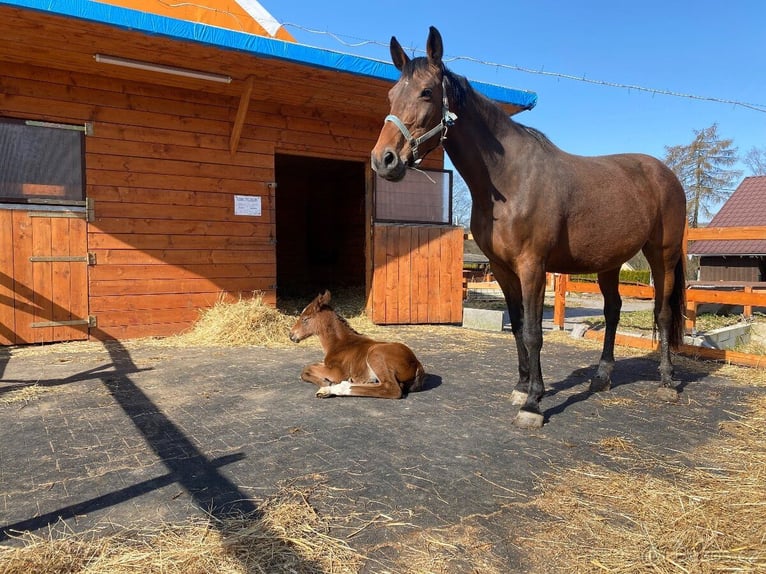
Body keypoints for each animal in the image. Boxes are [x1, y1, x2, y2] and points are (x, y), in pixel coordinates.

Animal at [289, 290, 426, 399]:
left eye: (305, 319)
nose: (291, 335)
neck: (340, 343)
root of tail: (417, 363)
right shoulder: (326, 364)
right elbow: (308, 368)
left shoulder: (338, 372)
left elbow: (306, 369)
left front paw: (326, 383)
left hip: (376, 355)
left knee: (392, 389)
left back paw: (333, 389)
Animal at [371, 27, 686, 428]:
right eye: (391, 95)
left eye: (426, 92)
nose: (383, 160)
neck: (510, 180)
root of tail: (665, 174)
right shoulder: (504, 269)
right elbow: (519, 327)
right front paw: (522, 387)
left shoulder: (533, 266)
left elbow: (535, 332)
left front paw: (533, 404)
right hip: (609, 263)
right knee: (613, 310)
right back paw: (602, 377)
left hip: (663, 255)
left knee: (662, 314)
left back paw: (667, 381)